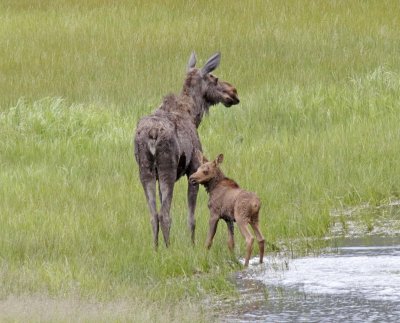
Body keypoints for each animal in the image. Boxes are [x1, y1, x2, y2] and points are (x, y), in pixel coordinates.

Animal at [134, 52, 241, 248]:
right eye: (214, 77)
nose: (233, 91)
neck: (194, 114)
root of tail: (152, 134)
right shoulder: (193, 170)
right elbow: (191, 218)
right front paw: (192, 245)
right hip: (167, 169)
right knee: (164, 214)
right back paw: (168, 249)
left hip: (145, 171)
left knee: (153, 215)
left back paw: (156, 249)